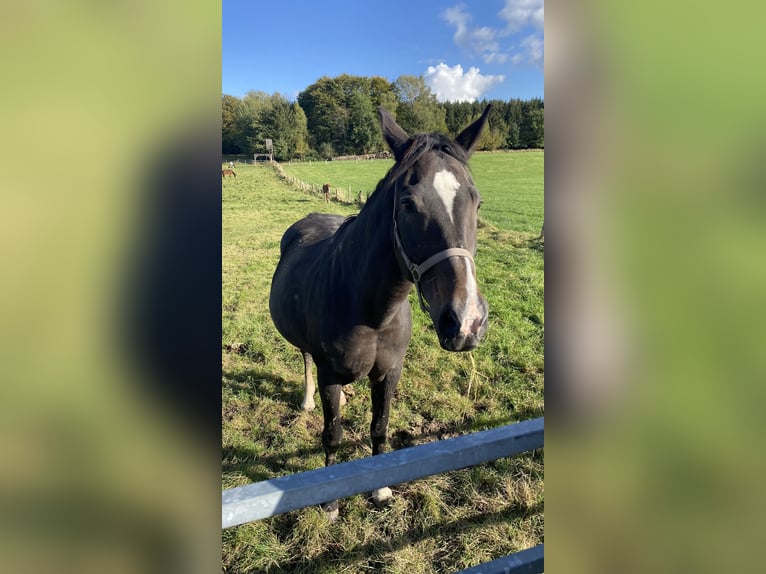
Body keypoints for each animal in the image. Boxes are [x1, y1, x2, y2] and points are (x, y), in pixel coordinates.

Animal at [268, 107, 492, 516]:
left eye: (476, 201)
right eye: (408, 204)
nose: (466, 321)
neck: (371, 311)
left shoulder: (389, 373)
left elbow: (379, 427)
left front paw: (380, 489)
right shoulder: (330, 375)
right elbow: (333, 434)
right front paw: (330, 501)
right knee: (305, 358)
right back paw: (306, 400)